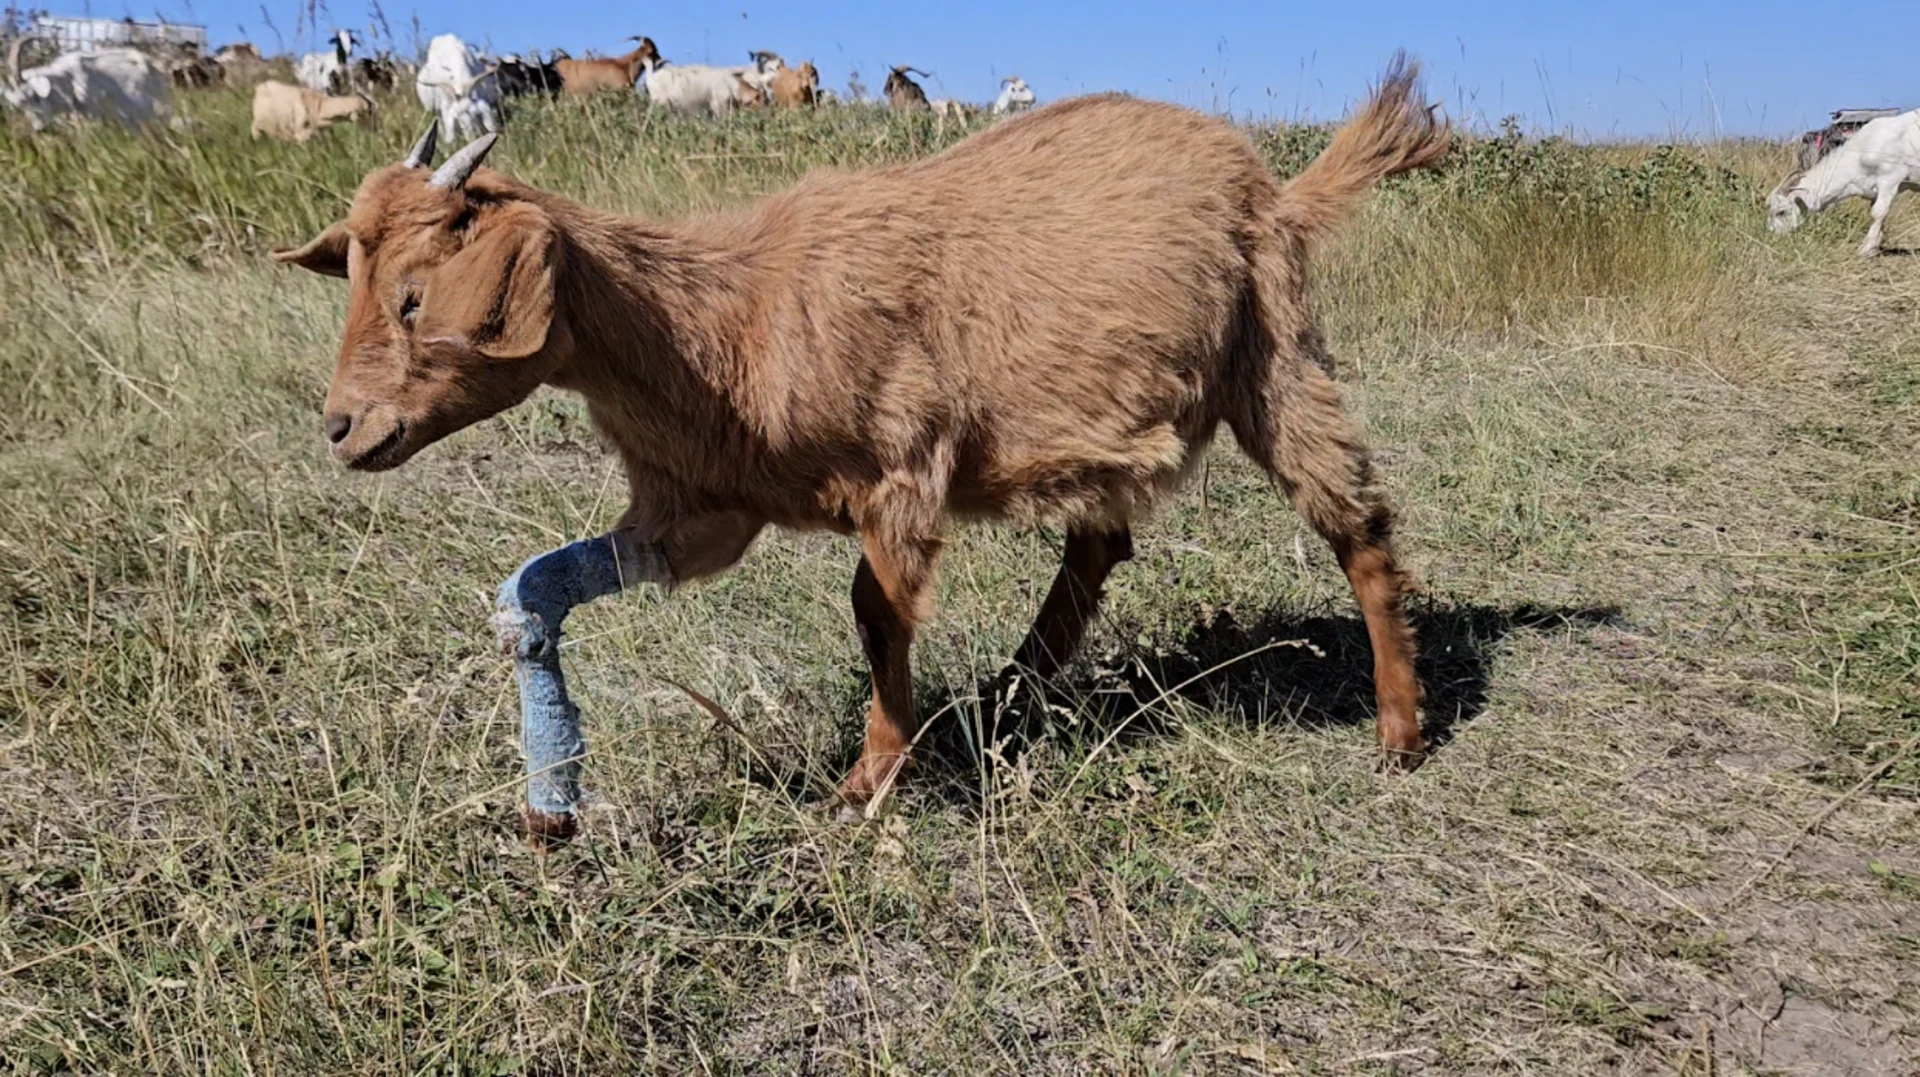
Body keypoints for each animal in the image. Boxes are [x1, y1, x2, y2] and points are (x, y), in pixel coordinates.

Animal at [270, 56, 1443, 840]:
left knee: (1357, 522)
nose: (341, 430)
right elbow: (536, 584)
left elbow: (875, 613)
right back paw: (1011, 690)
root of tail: (1279, 185)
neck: (731, 316)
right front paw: (550, 793)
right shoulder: (699, 509)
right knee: (1100, 544)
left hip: (1275, 351)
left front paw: (870, 778)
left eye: (415, 297)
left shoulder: (900, 468)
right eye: (355, 281)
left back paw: (1400, 731)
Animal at [1766, 108, 1920, 255]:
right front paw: (1874, 247)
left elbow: (1878, 212)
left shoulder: (1890, 180)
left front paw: (1865, 248)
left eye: (1781, 212)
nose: (1772, 234)